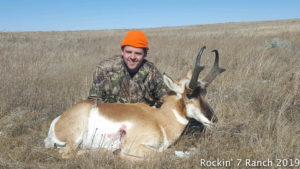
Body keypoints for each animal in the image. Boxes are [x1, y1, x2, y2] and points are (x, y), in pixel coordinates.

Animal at [43, 46, 224, 160]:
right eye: (189, 94)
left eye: (204, 92)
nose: (214, 120)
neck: (160, 119)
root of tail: (56, 123)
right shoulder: (136, 146)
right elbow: (165, 154)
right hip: (76, 137)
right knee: (66, 154)